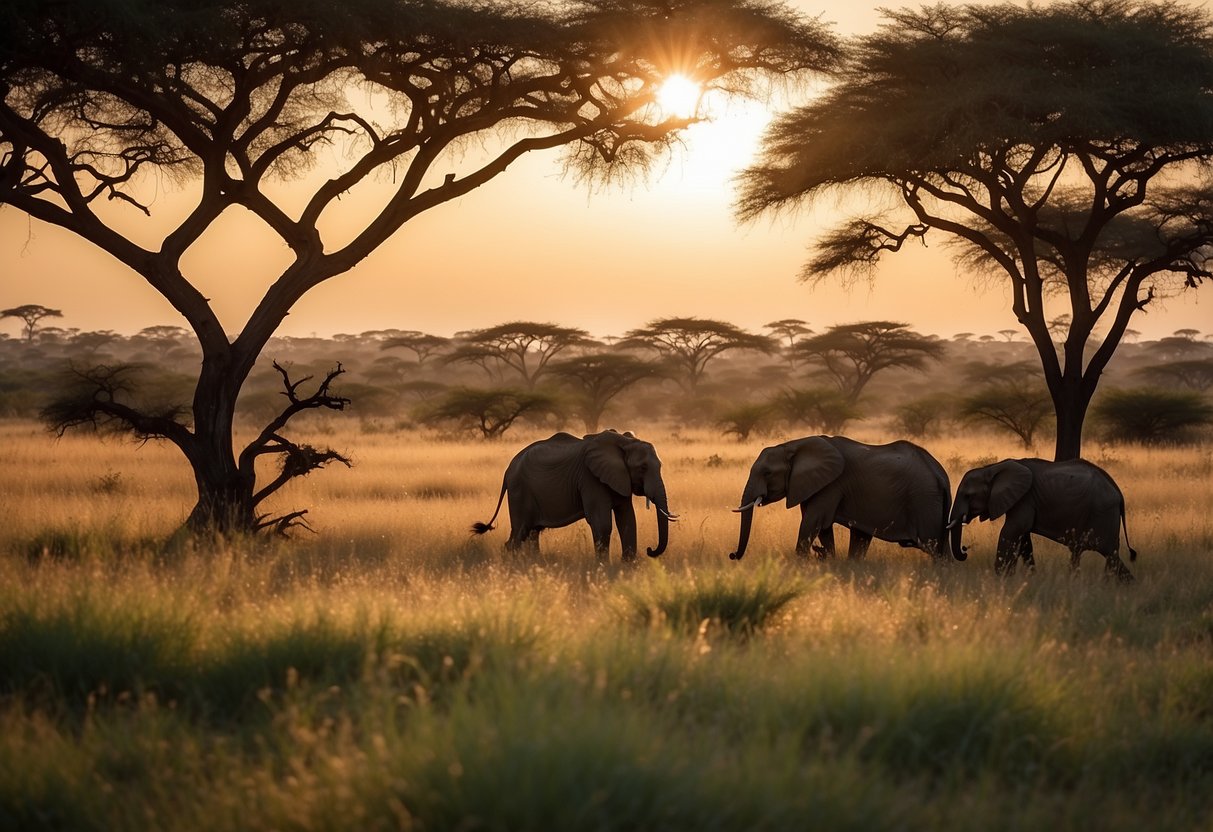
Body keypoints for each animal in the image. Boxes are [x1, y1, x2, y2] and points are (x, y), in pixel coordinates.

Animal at [470, 434, 679, 562]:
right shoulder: (590, 479)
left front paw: (627, 566)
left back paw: (534, 563)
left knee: (533, 533)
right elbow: (602, 523)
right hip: (520, 491)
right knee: (520, 532)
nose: (650, 550)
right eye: (643, 468)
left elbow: (627, 519)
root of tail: (507, 470)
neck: (624, 441)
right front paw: (603, 567)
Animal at [727, 436, 955, 567]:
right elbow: (823, 528)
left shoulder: (831, 485)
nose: (732, 555)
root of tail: (941, 476)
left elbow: (813, 522)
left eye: (767, 473)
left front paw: (802, 563)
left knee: (933, 546)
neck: (793, 445)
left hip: (924, 500)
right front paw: (827, 558)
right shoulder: (812, 484)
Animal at [946, 458, 1135, 584]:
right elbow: (1023, 539)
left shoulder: (1025, 499)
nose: (965, 549)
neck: (992, 469)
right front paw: (1028, 577)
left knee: (1109, 553)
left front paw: (1001, 577)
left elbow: (1011, 531)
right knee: (1101, 554)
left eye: (968, 496)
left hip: (1103, 514)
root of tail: (1119, 493)